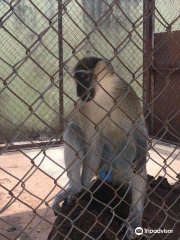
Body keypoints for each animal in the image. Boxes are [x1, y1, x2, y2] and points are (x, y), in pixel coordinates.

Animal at [52, 57, 148, 239]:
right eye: (77, 78)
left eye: (85, 77)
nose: (79, 92)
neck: (103, 96)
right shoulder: (85, 107)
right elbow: (92, 146)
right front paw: (82, 189)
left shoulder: (126, 95)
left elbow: (138, 127)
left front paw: (142, 149)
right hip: (103, 164)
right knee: (72, 130)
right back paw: (76, 188)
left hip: (123, 165)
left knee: (136, 162)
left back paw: (135, 217)